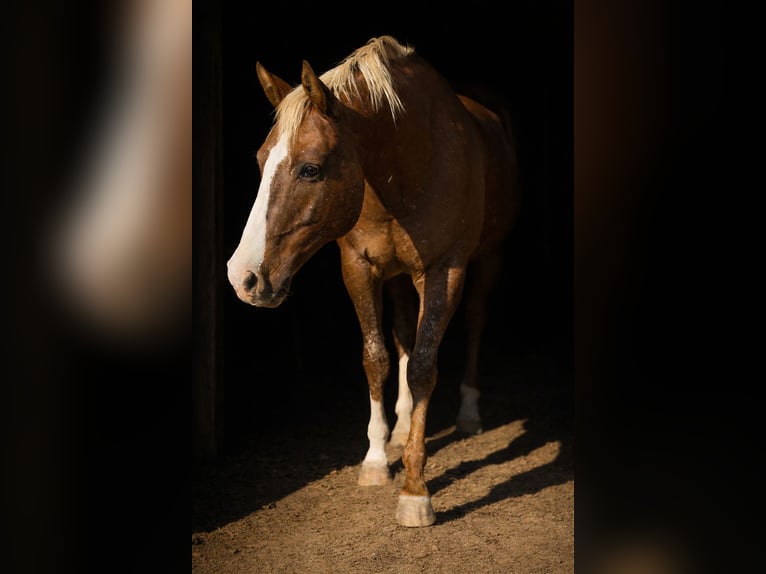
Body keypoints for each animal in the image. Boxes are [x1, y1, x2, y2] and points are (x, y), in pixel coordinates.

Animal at [227, 35, 520, 527]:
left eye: (310, 169)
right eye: (260, 160)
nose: (242, 277)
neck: (414, 163)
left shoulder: (445, 271)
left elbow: (423, 366)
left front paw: (415, 492)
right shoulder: (359, 268)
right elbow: (377, 357)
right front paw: (377, 459)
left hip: (487, 259)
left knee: (476, 323)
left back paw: (468, 412)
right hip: (398, 277)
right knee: (402, 334)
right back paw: (401, 428)